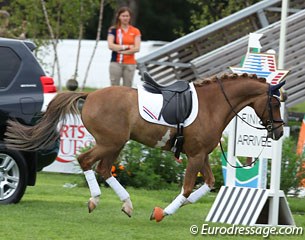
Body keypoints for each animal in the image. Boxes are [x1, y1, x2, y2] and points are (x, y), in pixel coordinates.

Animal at [4, 73, 284, 221]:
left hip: (115, 144)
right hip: (110, 142)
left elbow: (209, 184)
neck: (213, 105)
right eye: (275, 103)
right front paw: (163, 212)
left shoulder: (201, 154)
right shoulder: (195, 156)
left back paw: (125, 204)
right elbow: (186, 188)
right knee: (87, 162)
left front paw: (184, 206)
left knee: (103, 169)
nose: (279, 132)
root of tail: (90, 95)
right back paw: (96, 200)